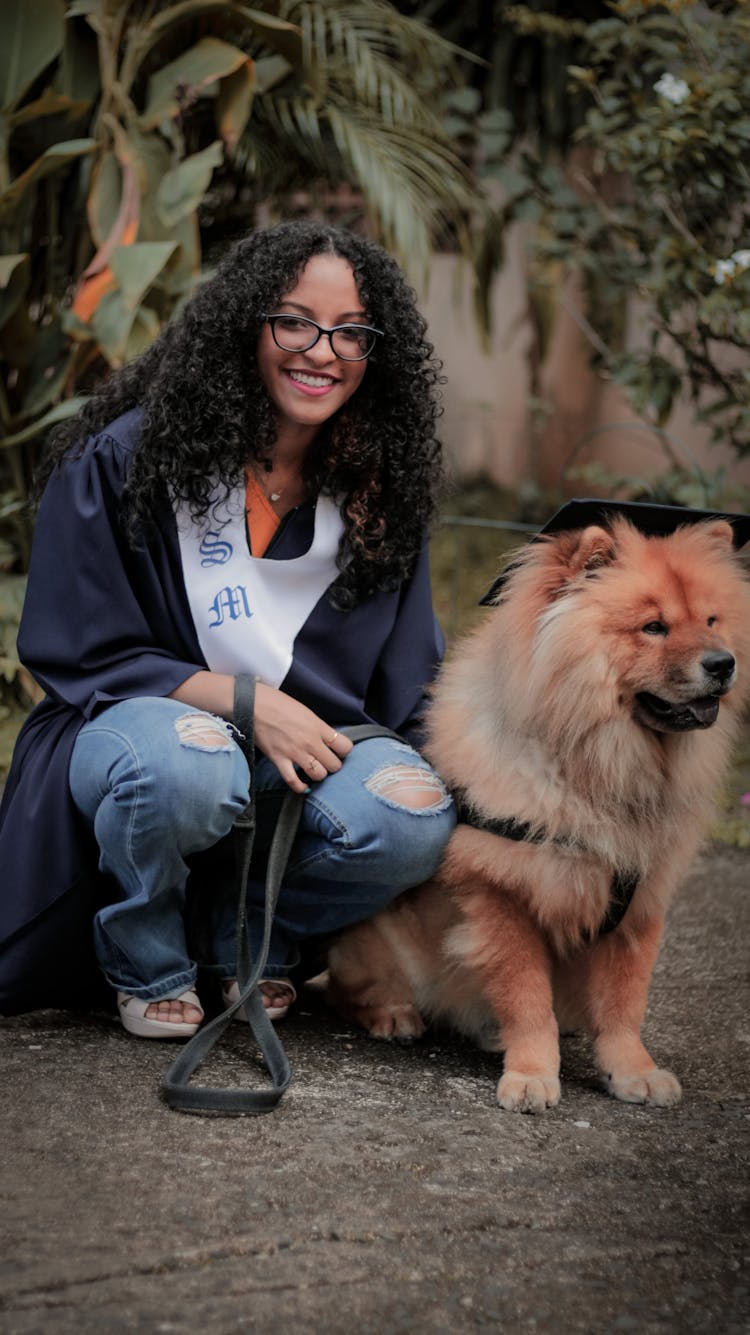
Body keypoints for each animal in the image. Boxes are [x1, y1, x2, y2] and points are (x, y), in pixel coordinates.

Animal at [328, 504, 747, 1110]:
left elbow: (624, 1005)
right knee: (348, 990)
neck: (600, 766)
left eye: (712, 620)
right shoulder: (504, 896)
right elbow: (526, 998)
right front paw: (530, 1077)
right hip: (379, 943)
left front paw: (634, 1072)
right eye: (653, 627)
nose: (723, 663)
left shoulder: (640, 906)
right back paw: (396, 1015)